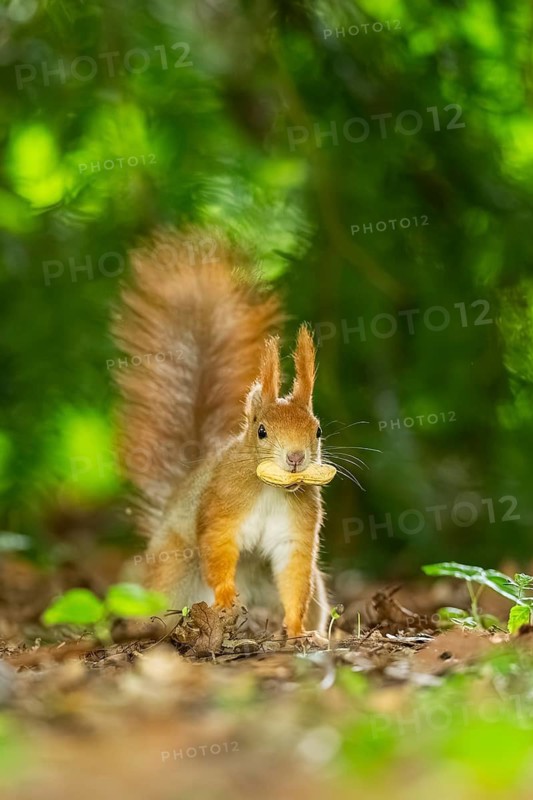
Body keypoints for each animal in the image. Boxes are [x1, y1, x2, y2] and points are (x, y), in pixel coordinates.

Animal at [113, 228, 331, 641]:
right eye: (261, 431)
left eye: (318, 430)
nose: (295, 458)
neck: (269, 487)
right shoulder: (222, 507)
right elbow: (218, 547)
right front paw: (227, 596)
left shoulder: (295, 530)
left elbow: (295, 574)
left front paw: (297, 631)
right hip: (174, 571)